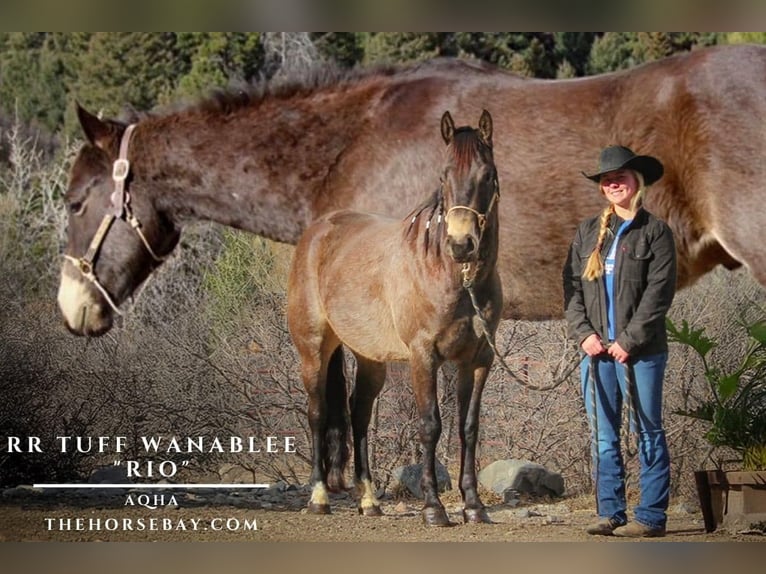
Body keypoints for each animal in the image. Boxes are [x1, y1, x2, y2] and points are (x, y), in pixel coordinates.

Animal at [286, 110, 501, 526]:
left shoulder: (478, 359)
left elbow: (468, 427)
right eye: (443, 176)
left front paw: (473, 506)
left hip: (370, 358)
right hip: (313, 350)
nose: (461, 244)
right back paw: (319, 497)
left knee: (358, 414)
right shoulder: (423, 356)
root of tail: (317, 231)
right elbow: (430, 425)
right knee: (318, 413)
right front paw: (434, 508)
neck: (448, 273)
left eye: (487, 175)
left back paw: (369, 501)